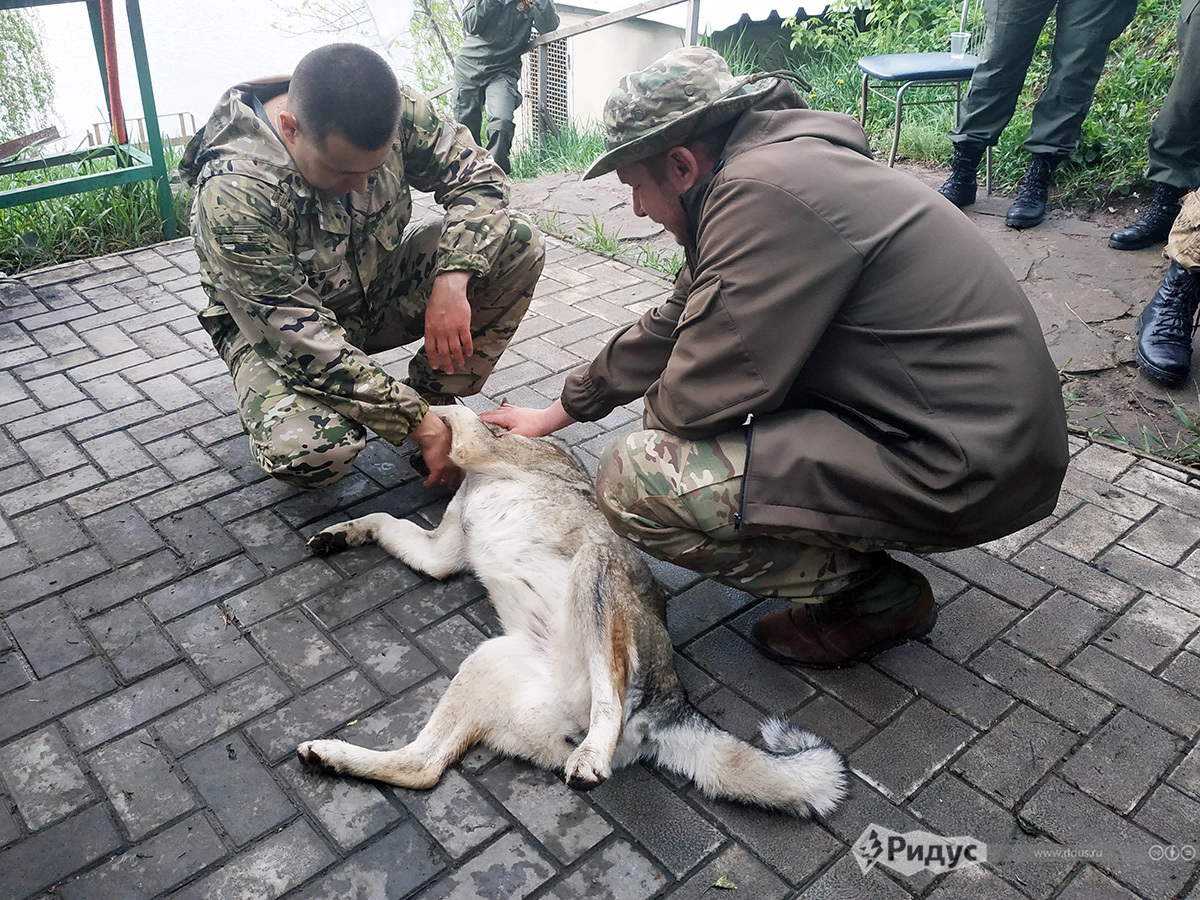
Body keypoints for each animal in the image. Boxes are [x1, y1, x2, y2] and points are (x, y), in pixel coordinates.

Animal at [297, 406, 847, 818]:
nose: (416, 460)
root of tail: (675, 704)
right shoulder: (439, 555)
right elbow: (382, 519)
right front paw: (343, 532)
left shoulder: (480, 449)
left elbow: (455, 410)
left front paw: (434, 409)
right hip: (486, 666)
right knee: (422, 767)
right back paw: (333, 757)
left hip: (592, 570)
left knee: (609, 700)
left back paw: (592, 755)